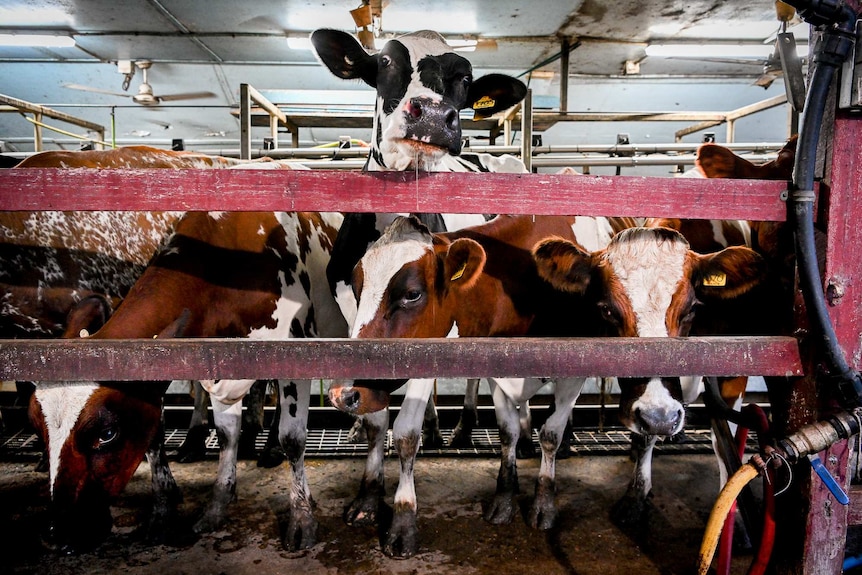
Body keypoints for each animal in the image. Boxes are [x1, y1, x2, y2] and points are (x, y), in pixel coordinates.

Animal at [324, 213, 636, 560]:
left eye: (412, 294)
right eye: (357, 287)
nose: (341, 393)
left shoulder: (575, 370)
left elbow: (550, 435)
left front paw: (543, 504)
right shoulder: (495, 367)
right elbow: (506, 431)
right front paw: (504, 497)